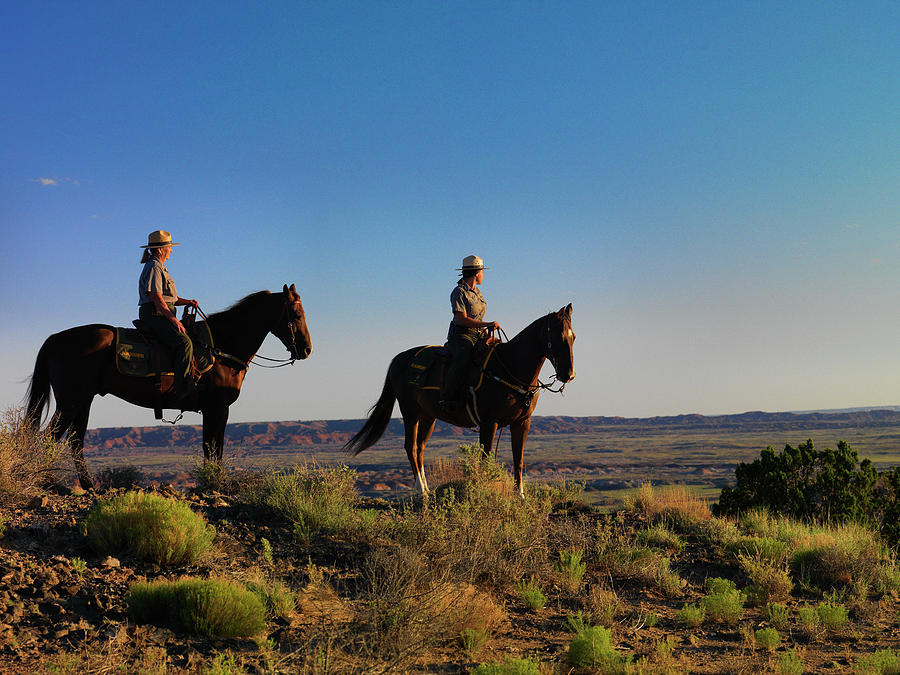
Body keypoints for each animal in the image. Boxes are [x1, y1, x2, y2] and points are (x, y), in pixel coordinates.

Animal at [25, 282, 312, 488]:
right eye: (296, 314)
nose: (307, 350)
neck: (222, 346)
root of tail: (56, 338)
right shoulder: (218, 408)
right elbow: (214, 448)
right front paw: (214, 483)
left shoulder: (212, 410)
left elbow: (211, 447)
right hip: (71, 401)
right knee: (51, 437)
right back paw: (48, 483)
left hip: (83, 400)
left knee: (75, 441)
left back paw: (88, 486)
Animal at [344, 304, 576, 496]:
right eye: (558, 336)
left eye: (573, 337)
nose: (569, 374)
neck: (509, 368)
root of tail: (399, 358)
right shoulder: (488, 422)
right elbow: (485, 459)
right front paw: (484, 492)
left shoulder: (522, 423)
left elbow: (518, 460)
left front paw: (520, 496)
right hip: (410, 412)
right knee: (411, 447)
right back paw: (421, 491)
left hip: (428, 416)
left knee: (420, 448)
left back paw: (427, 488)